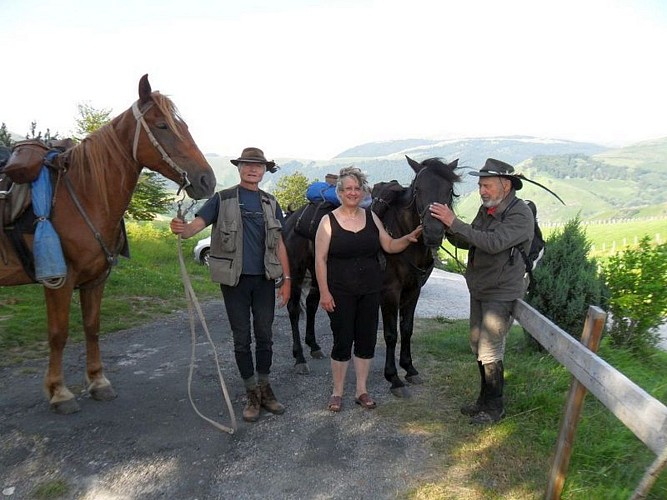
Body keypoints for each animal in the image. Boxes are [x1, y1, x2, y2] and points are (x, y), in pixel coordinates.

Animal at [0, 75, 216, 414]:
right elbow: (59, 334)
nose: (207, 180)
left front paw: (98, 382)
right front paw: (59, 392)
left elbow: (92, 327)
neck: (83, 194)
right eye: (162, 125)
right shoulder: (58, 281)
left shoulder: (96, 278)